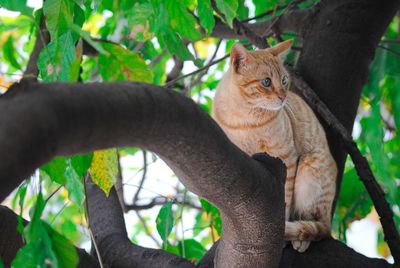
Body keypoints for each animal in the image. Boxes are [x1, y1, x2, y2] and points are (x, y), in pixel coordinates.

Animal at [212, 39, 338, 251]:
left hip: (309, 170)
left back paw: (300, 237)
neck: (245, 119)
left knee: (316, 224)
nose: (282, 97)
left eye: (285, 81)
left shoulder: (286, 158)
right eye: (266, 82)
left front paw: (281, 234)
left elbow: (285, 200)